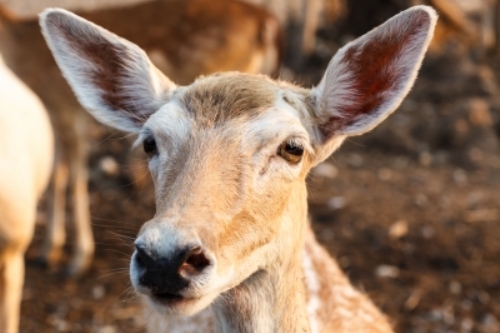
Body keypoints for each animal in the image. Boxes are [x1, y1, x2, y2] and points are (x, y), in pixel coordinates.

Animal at [0, 0, 282, 274]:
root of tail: (265, 20)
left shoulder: (68, 113)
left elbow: (74, 180)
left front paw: (78, 259)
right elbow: (56, 177)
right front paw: (49, 251)